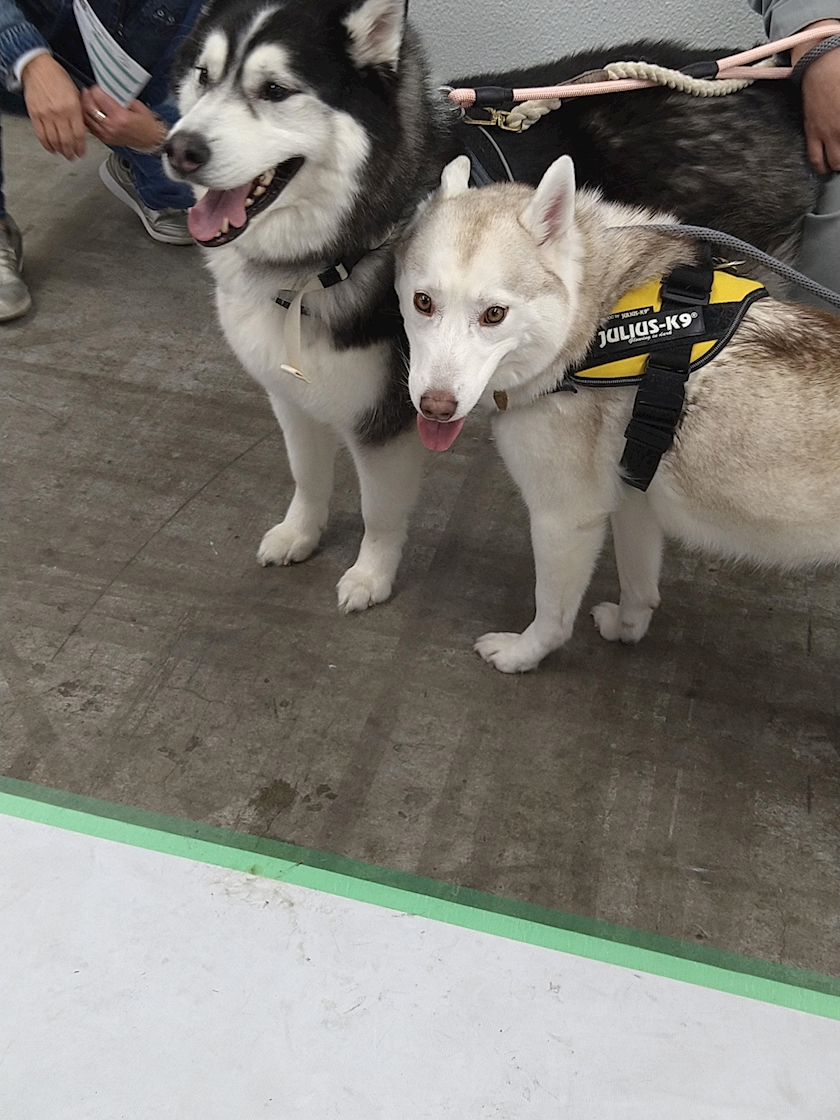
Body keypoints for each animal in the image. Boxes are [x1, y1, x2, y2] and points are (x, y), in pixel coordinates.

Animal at [162, 0, 818, 612]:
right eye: (202, 75)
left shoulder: (387, 418)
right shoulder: (289, 390)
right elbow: (306, 474)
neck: (323, 262)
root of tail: (771, 82)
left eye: (275, 90)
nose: (178, 150)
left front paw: (370, 576)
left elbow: (379, 514)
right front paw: (299, 533)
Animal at [396, 154, 840, 672]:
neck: (590, 328)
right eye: (423, 302)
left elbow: (552, 615)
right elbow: (639, 586)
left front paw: (523, 654)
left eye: (494, 315)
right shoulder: (632, 498)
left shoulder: (565, 517)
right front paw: (628, 628)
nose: (436, 406)